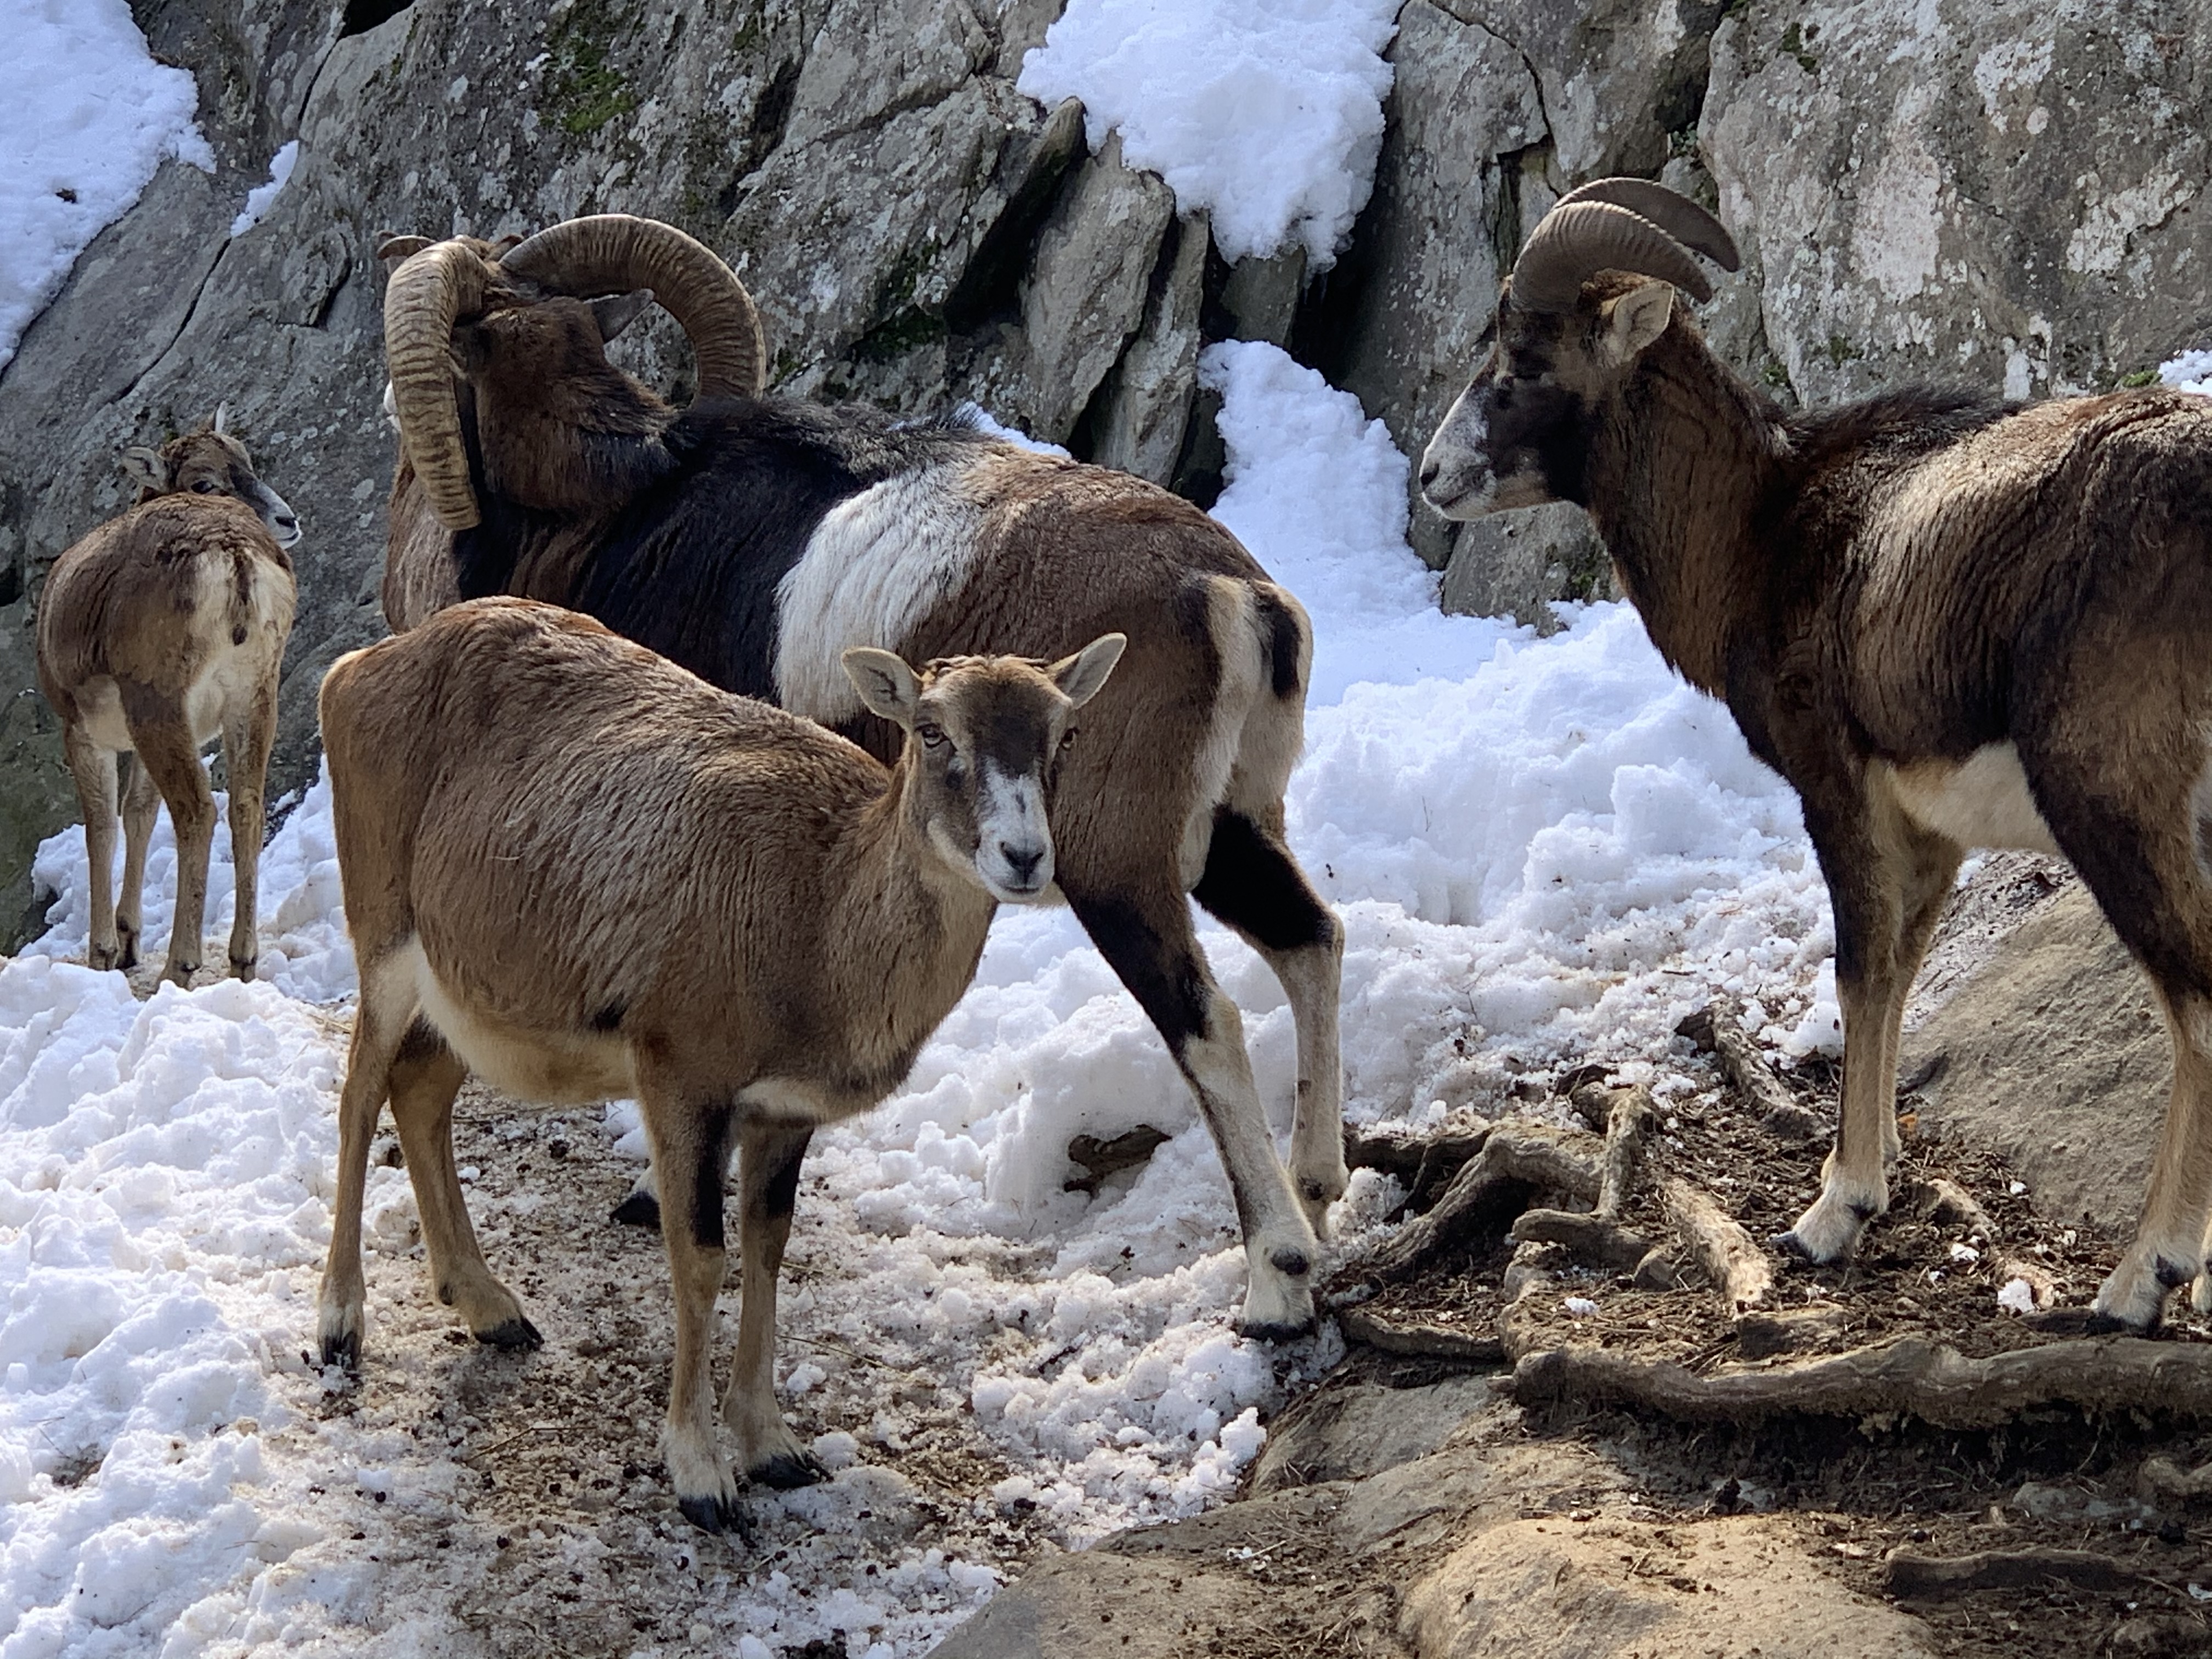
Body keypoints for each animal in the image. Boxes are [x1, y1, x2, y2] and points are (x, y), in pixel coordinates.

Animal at [35, 412, 300, 983]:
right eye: (207, 478)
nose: (288, 520)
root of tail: (235, 558)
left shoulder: (83, 731)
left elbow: (102, 825)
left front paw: (105, 953)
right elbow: (138, 813)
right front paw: (129, 940)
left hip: (157, 700)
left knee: (197, 812)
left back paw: (178, 967)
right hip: (253, 696)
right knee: (246, 807)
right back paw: (242, 960)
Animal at [312, 595, 1124, 1532]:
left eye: (1065, 731)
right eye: (931, 730)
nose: (1024, 857)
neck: (817, 922)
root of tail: (353, 670)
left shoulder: (784, 1112)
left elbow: (769, 1246)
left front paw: (773, 1446)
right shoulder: (679, 1071)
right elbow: (699, 1257)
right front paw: (700, 1472)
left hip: (464, 994)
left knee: (420, 1093)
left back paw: (489, 1307)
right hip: (384, 931)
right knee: (359, 1096)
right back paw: (340, 1322)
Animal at [368, 215, 1345, 1348]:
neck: (609, 511)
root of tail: (1227, 592)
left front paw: (652, 1197)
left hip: (1117, 869)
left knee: (1208, 1018)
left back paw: (1276, 1280)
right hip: (1229, 831)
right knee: (1311, 940)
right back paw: (1323, 1190)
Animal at [1419, 175, 2212, 1334]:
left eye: (1523, 361)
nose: (1433, 476)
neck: (1763, 525)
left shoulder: (1840, 795)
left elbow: (1857, 974)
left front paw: (1832, 1212)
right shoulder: (1929, 837)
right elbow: (1895, 974)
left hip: (2116, 808)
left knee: (2195, 1003)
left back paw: (2137, 1280)